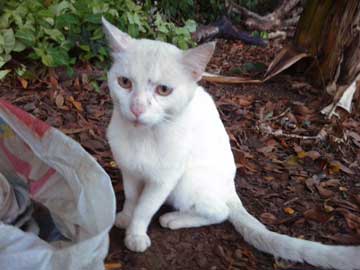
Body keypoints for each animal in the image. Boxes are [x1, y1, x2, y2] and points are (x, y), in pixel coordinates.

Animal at [102, 17, 360, 270]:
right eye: (124, 82)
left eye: (163, 90)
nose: (137, 109)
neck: (143, 137)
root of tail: (231, 187)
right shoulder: (129, 170)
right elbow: (132, 197)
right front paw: (124, 217)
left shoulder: (164, 180)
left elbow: (145, 207)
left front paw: (135, 234)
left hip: (186, 182)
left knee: (220, 212)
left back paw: (175, 219)